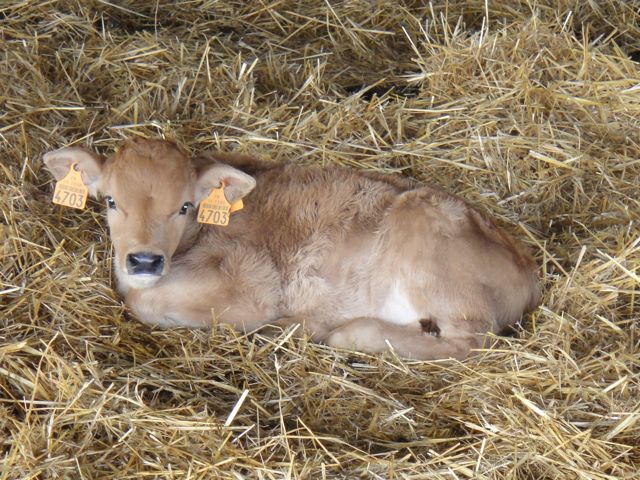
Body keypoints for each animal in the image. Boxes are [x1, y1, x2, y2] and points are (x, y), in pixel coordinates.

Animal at [42, 137, 536, 358]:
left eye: (184, 206)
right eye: (110, 200)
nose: (144, 259)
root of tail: (527, 268)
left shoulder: (251, 284)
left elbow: (141, 302)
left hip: (431, 251)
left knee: (469, 341)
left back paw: (334, 330)